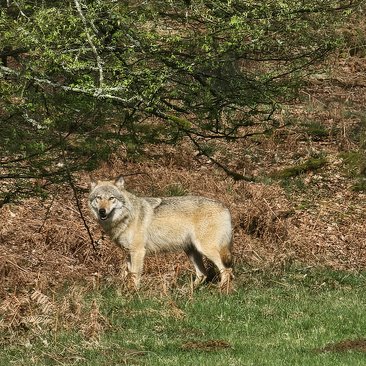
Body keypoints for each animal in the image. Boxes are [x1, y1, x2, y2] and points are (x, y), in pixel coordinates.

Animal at [88, 176, 233, 290]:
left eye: (111, 198)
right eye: (98, 198)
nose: (102, 211)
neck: (126, 217)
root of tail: (225, 208)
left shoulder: (138, 252)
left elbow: (135, 276)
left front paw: (133, 294)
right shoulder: (129, 253)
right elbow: (129, 275)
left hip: (206, 249)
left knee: (226, 270)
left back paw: (220, 290)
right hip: (191, 251)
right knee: (203, 274)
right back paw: (185, 291)